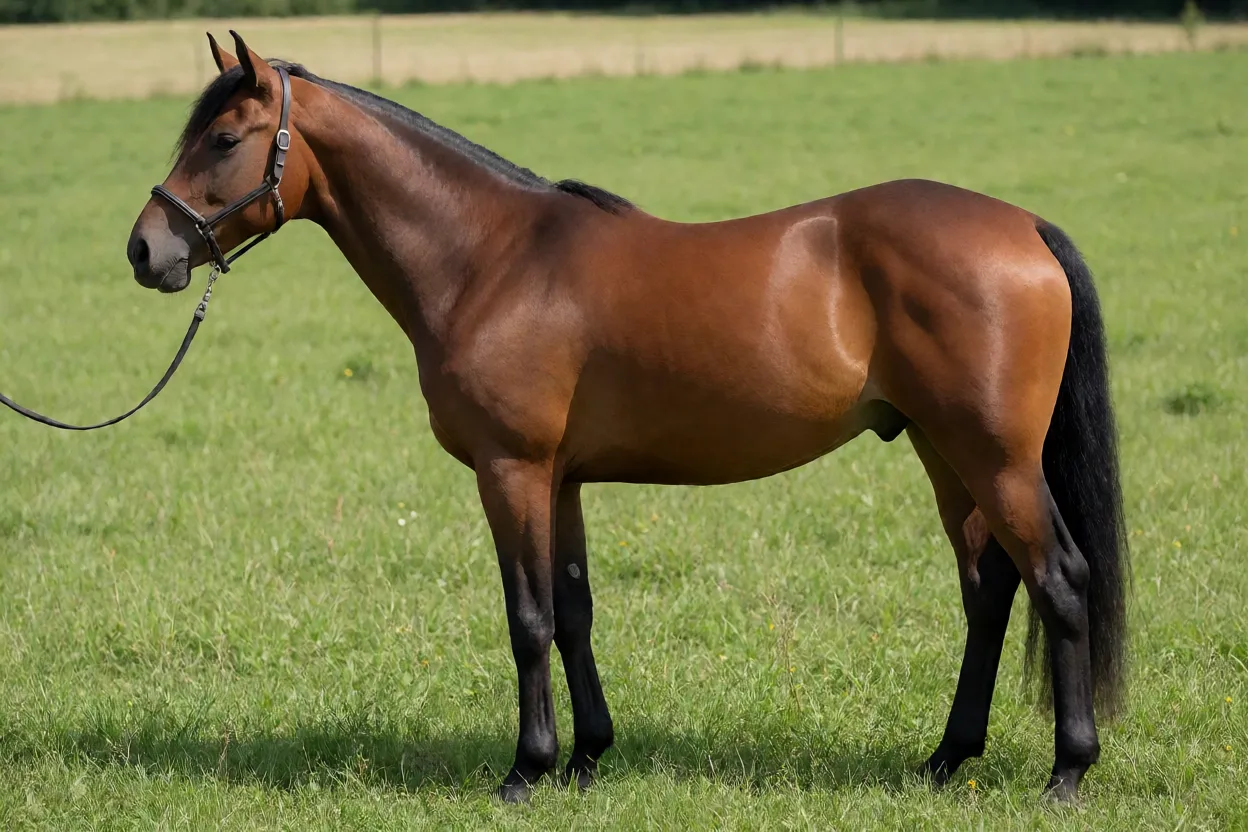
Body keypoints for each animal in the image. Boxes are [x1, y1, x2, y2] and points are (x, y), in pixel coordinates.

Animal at [126, 32, 1129, 803]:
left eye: (224, 138)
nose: (145, 249)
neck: (490, 258)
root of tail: (1024, 227)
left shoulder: (512, 470)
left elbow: (527, 617)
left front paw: (526, 772)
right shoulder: (562, 479)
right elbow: (573, 611)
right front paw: (586, 759)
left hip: (996, 459)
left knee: (1060, 579)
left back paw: (1066, 773)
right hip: (942, 453)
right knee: (989, 590)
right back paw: (947, 759)